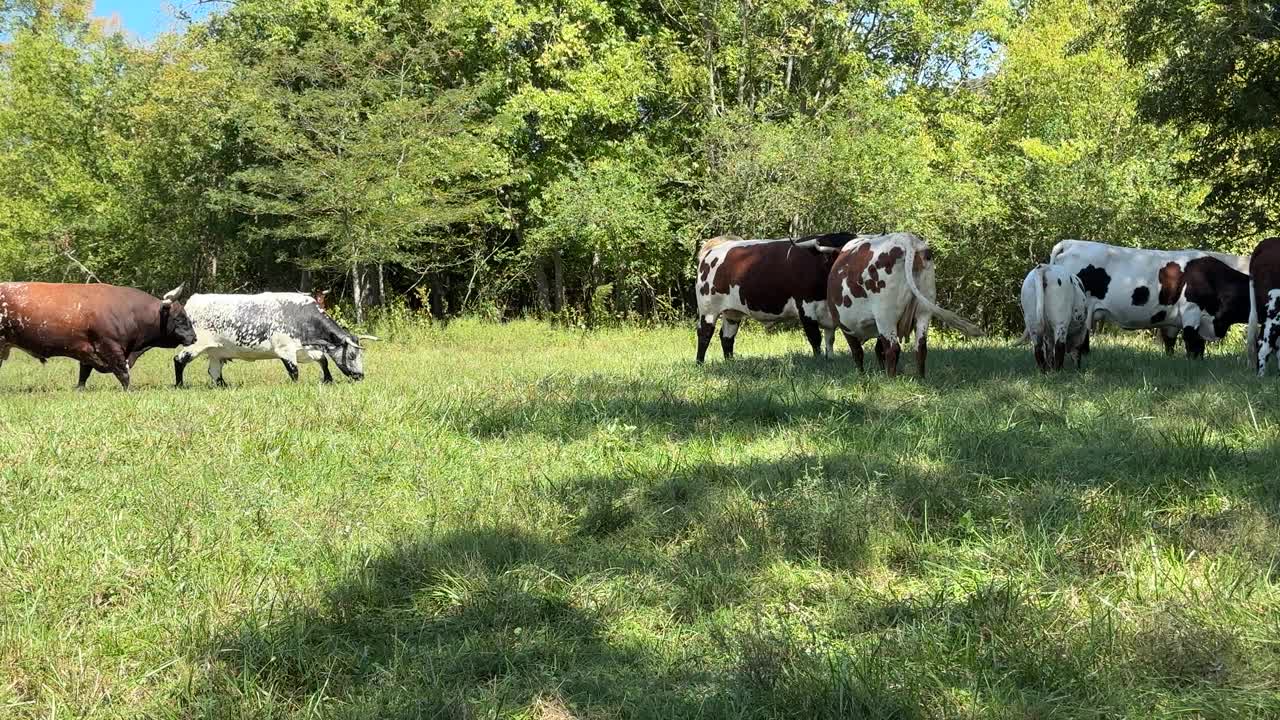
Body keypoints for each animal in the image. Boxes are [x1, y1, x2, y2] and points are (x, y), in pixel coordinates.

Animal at [0, 281, 194, 389]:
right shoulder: (110, 346)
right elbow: (123, 373)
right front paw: (129, 390)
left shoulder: (86, 350)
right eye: (180, 317)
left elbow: (83, 374)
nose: (194, 337)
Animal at [170, 289, 373, 386]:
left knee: (214, 372)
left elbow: (323, 360)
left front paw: (328, 380)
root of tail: (193, 300)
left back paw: (224, 386)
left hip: (216, 352)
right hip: (195, 345)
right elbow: (294, 371)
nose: (360, 376)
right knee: (179, 360)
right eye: (352, 355)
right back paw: (180, 385)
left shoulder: (306, 349)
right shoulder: (285, 350)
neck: (302, 317)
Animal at [691, 233, 860, 361]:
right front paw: (818, 361)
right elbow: (815, 338)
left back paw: (730, 363)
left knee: (727, 337)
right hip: (708, 308)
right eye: (840, 256)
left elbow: (830, 339)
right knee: (705, 333)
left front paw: (829, 360)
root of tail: (714, 247)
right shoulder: (806, 309)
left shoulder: (828, 313)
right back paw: (700, 363)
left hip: (732, 312)